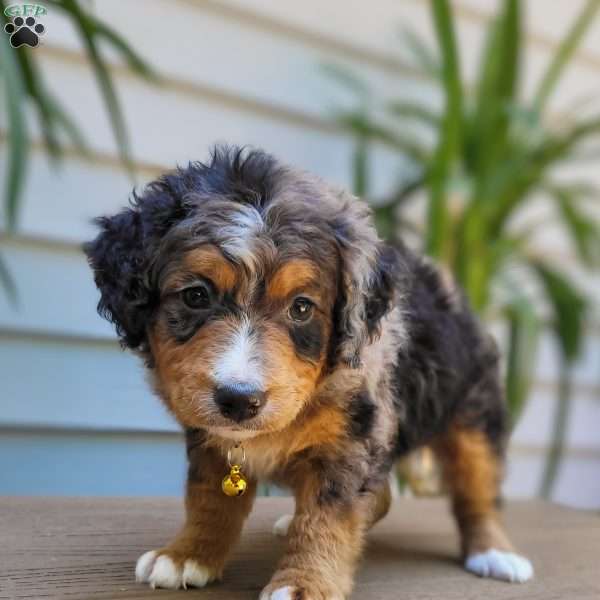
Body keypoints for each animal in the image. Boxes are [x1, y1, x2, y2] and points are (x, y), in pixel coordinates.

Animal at [85, 146, 536, 600]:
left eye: (301, 307)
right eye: (196, 295)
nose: (239, 400)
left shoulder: (351, 437)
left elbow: (327, 516)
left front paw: (304, 582)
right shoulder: (209, 438)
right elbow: (209, 498)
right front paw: (188, 555)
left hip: (473, 418)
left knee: (478, 490)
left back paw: (495, 552)